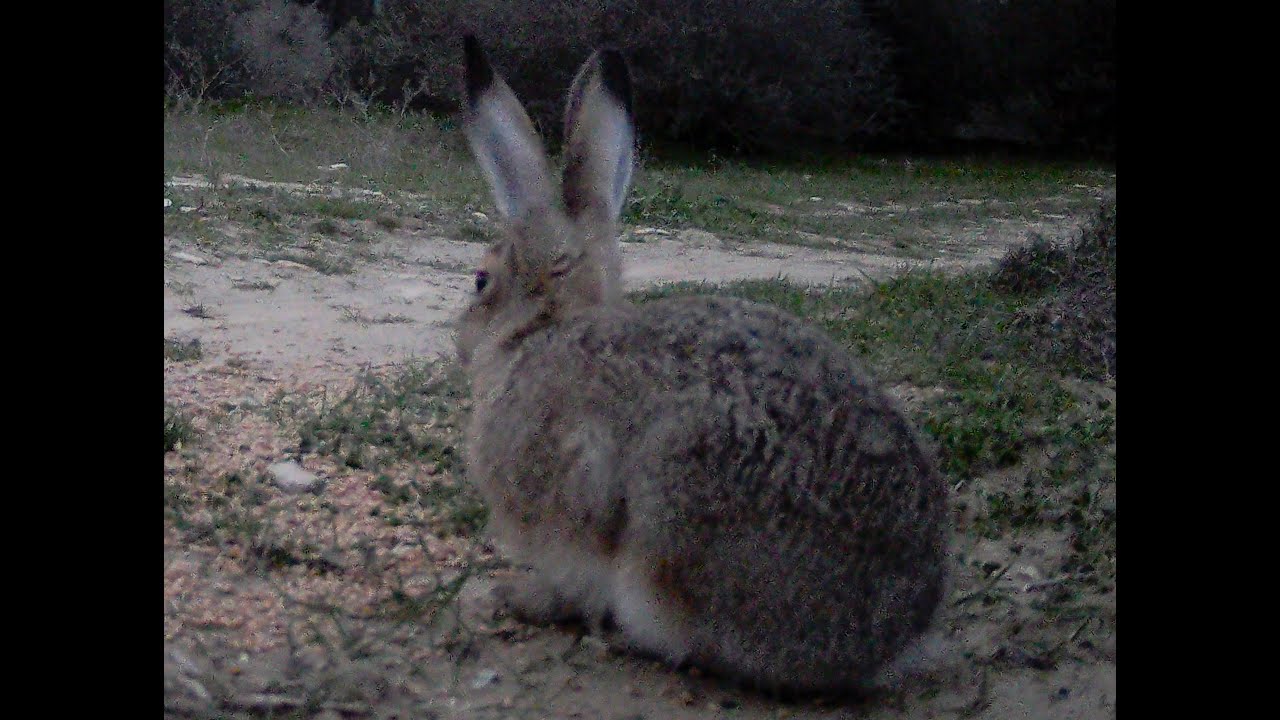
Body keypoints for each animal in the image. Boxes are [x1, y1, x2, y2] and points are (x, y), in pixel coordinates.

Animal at [454, 36, 950, 695]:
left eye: (480, 281)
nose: (460, 343)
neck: (546, 332)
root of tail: (889, 639)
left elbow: (572, 573)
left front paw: (517, 596)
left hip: (672, 535)